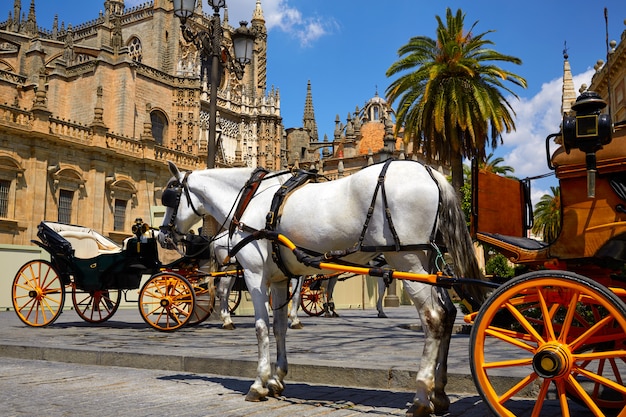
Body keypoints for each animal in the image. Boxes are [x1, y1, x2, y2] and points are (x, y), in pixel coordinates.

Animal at [157, 159, 488, 416]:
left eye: (171, 197)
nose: (163, 235)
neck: (251, 199)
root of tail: (432, 173)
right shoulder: (281, 278)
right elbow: (279, 326)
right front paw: (277, 379)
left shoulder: (254, 274)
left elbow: (261, 328)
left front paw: (259, 383)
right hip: (430, 263)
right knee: (448, 313)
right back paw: (440, 393)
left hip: (408, 261)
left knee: (433, 317)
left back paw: (421, 397)